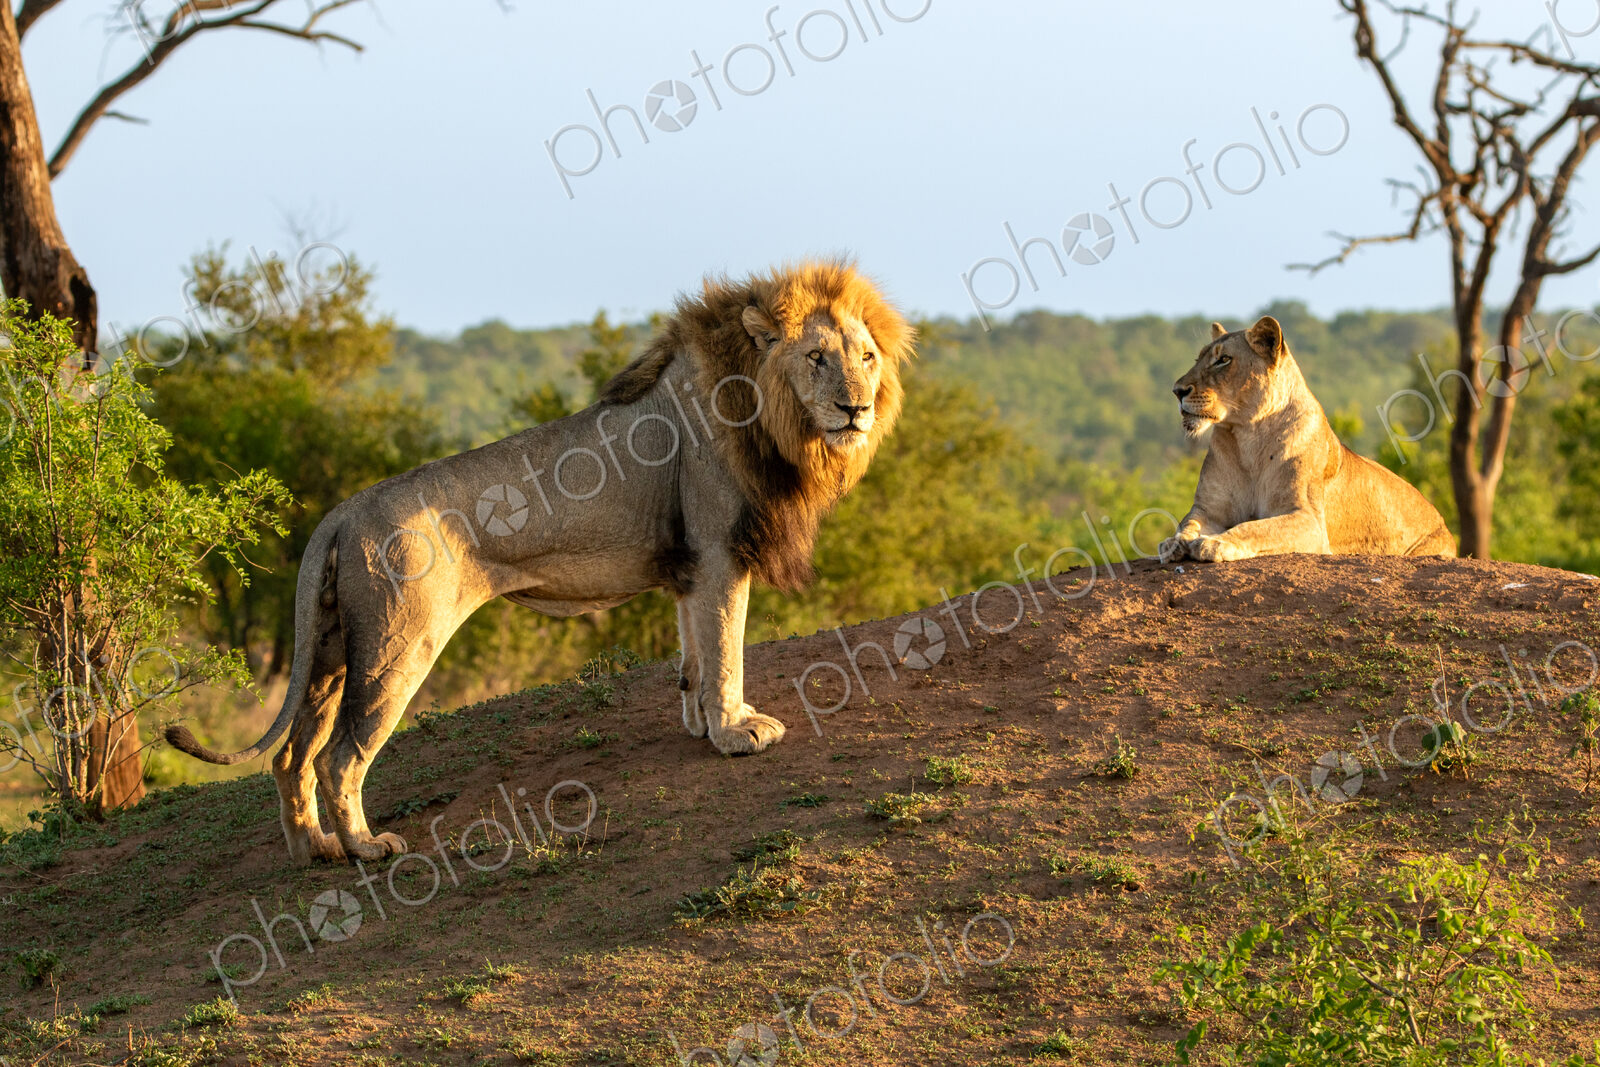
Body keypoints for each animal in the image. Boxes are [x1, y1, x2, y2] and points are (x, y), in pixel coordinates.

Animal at [166, 260, 914, 865]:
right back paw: (364, 848)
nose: (857, 408)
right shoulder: (718, 550)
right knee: (338, 755)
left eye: (867, 357)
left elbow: (694, 654)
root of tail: (343, 512)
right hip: (399, 642)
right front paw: (736, 732)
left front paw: (703, 723)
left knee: (292, 755)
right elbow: (726, 646)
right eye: (816, 358)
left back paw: (311, 850)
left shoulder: (692, 566)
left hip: (328, 648)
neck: (771, 415)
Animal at [1158, 316, 1454, 564]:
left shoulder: (1309, 520)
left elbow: (1257, 528)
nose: (1177, 391)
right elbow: (1188, 524)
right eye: (1197, 359)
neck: (1248, 438)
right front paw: (1173, 542)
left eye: (1223, 360)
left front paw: (1215, 542)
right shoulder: (1208, 509)